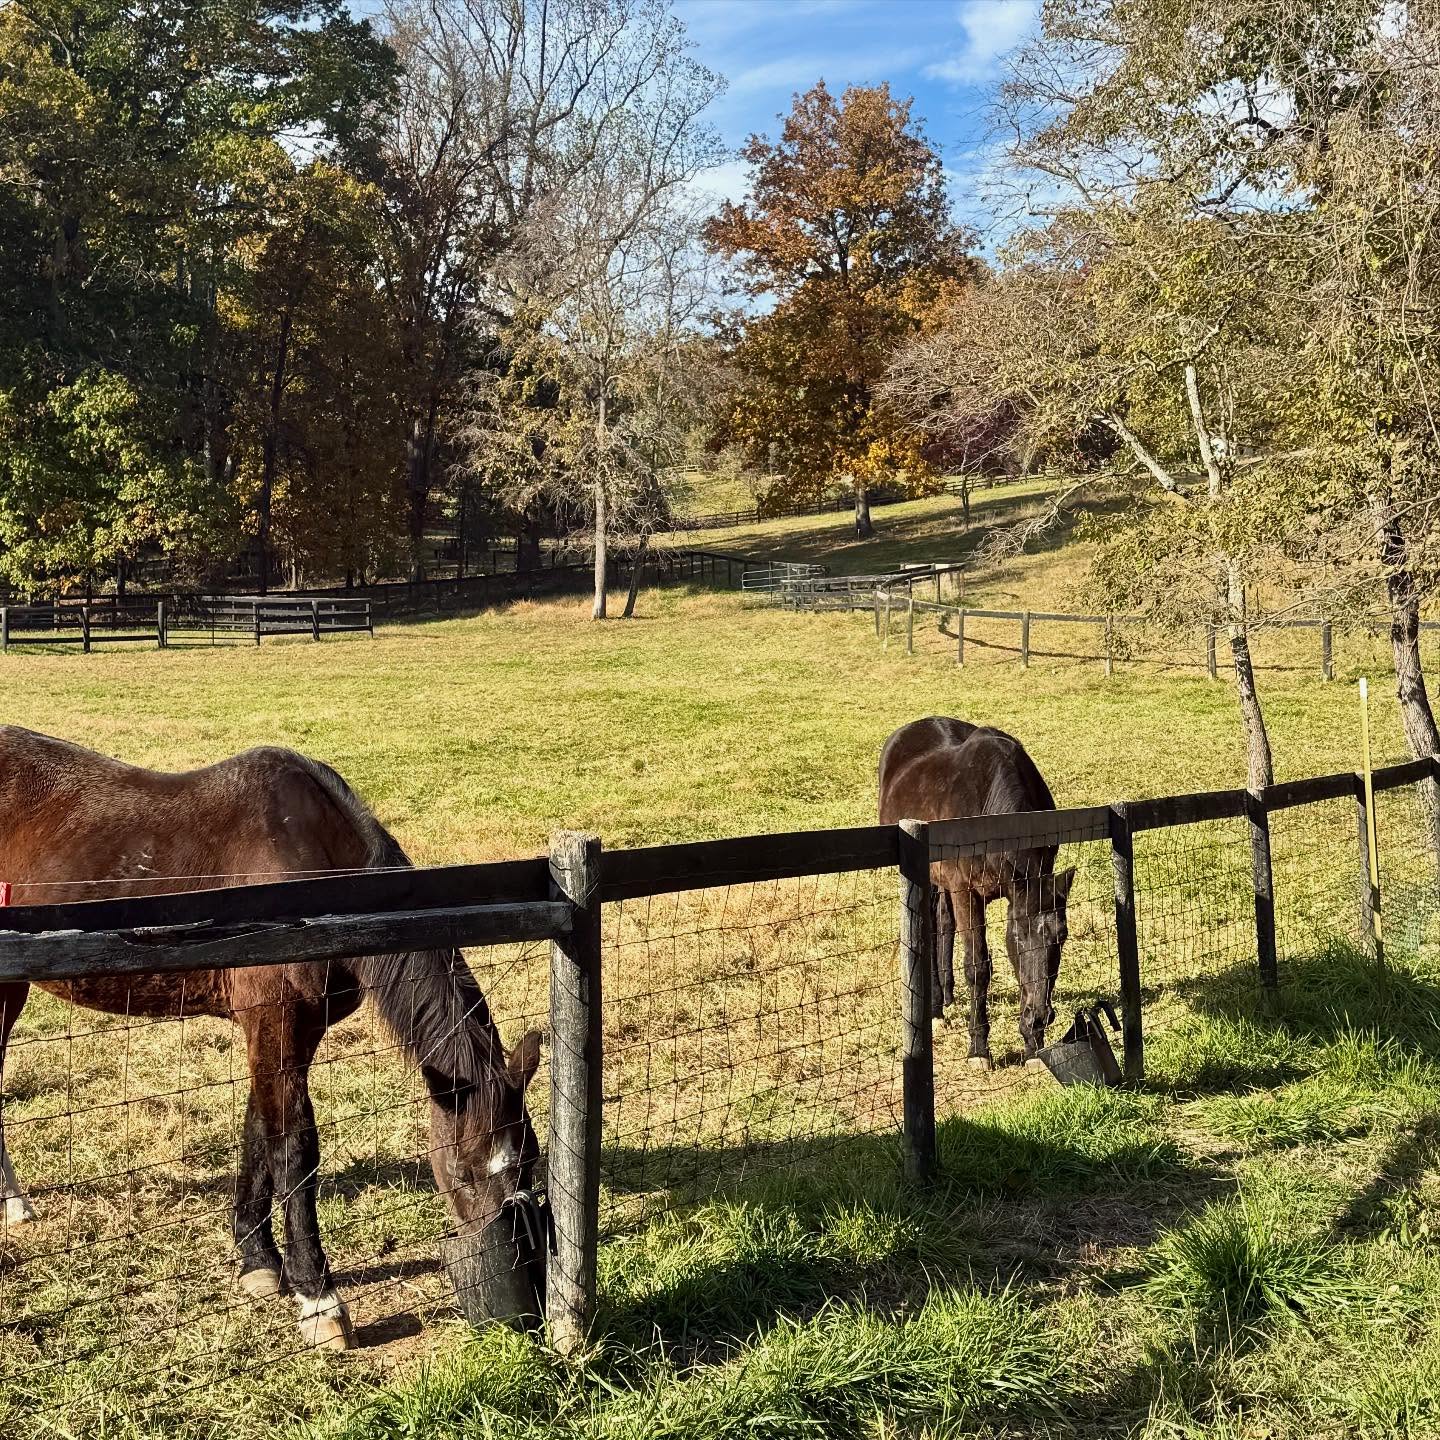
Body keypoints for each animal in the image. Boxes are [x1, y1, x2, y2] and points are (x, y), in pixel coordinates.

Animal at [0, 726, 544, 1351]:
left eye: (528, 1166)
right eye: (467, 1170)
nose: (511, 1266)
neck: (310, 867)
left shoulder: (288, 1032)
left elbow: (259, 1132)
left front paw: (257, 1259)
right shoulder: (276, 1022)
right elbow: (294, 1149)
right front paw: (318, 1298)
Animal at [878, 716, 1074, 1068]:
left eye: (1062, 936)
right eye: (1018, 936)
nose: (1041, 1015)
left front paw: (1033, 1047)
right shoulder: (965, 891)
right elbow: (978, 966)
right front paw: (979, 1049)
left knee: (944, 922)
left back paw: (946, 997)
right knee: (933, 925)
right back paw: (936, 1009)